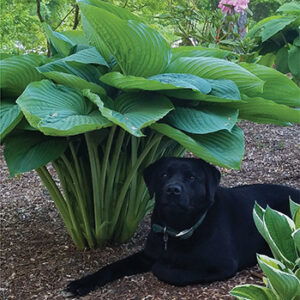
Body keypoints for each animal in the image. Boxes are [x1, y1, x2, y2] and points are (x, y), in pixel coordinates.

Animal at [66, 157, 300, 296]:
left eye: (191, 177)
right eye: (163, 174)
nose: (173, 190)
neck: (176, 228)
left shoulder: (222, 265)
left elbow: (167, 271)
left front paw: (165, 265)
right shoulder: (147, 255)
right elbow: (112, 266)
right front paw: (82, 283)